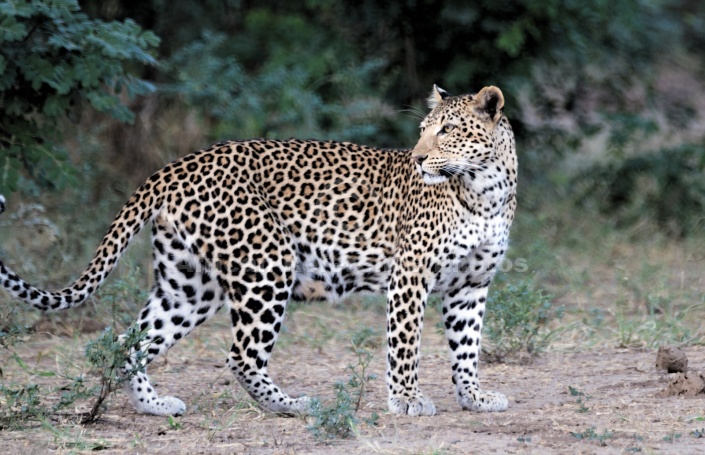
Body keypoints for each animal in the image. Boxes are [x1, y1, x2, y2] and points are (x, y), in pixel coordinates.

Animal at [0, 84, 516, 416]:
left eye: (447, 129)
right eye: (426, 129)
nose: (418, 158)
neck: (484, 191)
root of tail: (174, 165)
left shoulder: (472, 285)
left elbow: (467, 346)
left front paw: (474, 398)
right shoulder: (411, 275)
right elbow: (405, 343)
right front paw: (407, 400)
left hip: (189, 286)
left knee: (133, 340)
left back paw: (154, 405)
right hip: (266, 265)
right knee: (241, 355)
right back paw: (293, 406)